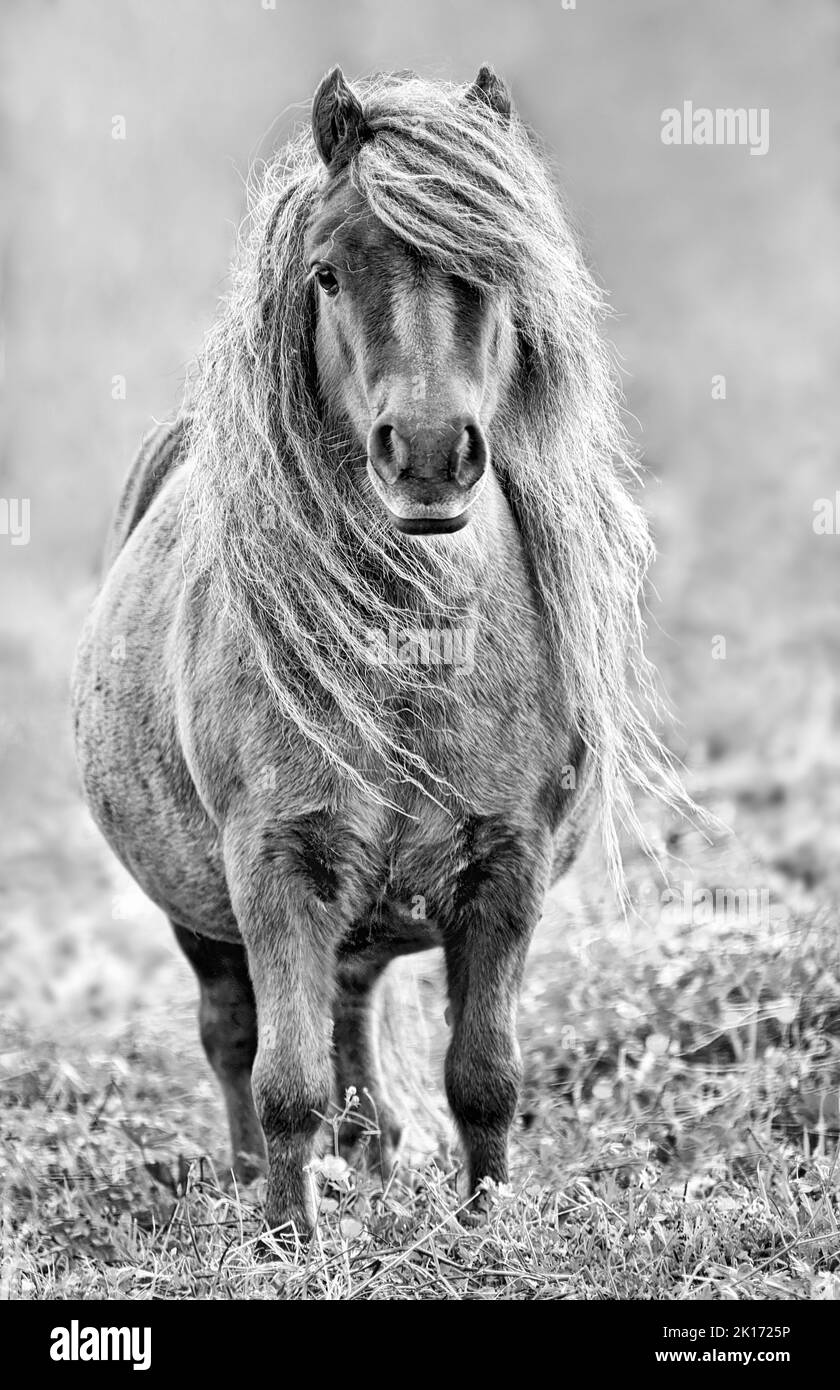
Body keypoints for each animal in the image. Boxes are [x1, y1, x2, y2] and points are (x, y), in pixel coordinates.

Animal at [72, 70, 689, 1234]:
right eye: (327, 272)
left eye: (497, 268)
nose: (432, 455)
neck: (416, 648)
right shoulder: (273, 866)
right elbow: (284, 1080)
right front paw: (287, 1240)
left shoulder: (507, 868)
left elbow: (482, 1073)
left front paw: (487, 1224)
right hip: (207, 915)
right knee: (236, 1034)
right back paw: (254, 1184)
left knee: (348, 1016)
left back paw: (371, 1165)